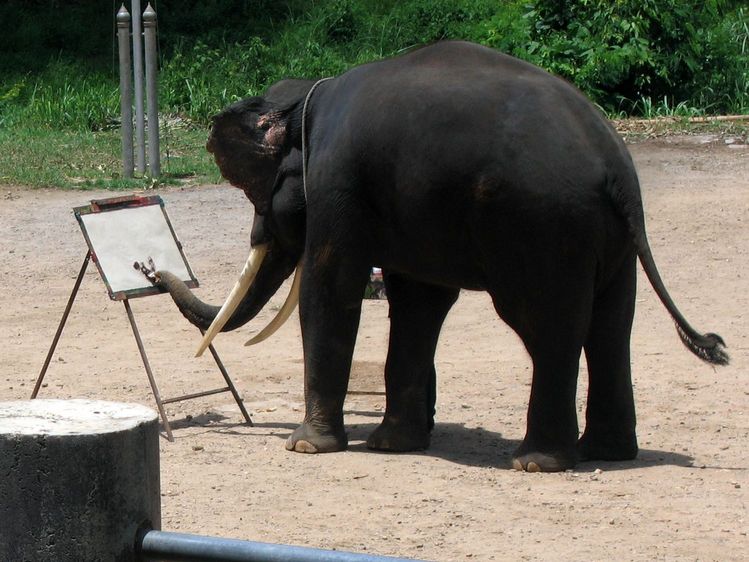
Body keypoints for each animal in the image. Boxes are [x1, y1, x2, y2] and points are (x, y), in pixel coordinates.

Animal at [146, 41, 728, 472]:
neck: (311, 94)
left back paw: (537, 462)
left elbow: (331, 286)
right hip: (609, 241)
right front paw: (392, 445)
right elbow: (418, 303)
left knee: (549, 327)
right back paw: (607, 453)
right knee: (611, 327)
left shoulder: (339, 180)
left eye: (259, 194)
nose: (150, 268)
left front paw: (306, 446)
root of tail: (618, 168)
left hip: (544, 230)